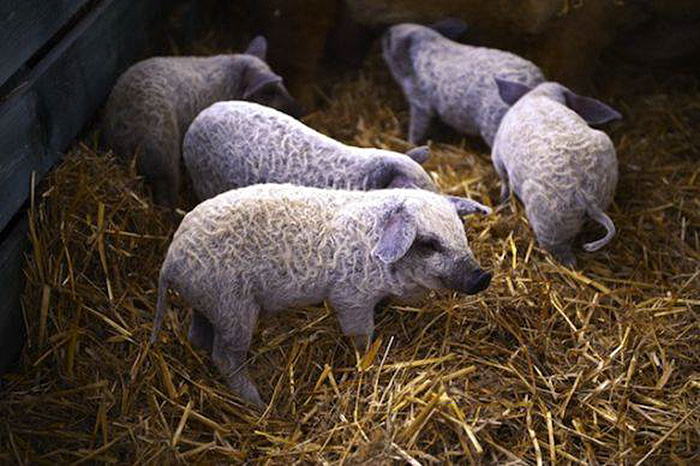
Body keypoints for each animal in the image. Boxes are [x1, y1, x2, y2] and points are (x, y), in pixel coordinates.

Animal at [150, 184, 492, 405]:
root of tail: (170, 261)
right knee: (225, 356)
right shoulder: (350, 297)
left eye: (461, 233)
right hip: (233, 306)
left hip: (209, 303)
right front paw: (368, 360)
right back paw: (259, 403)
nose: (483, 276)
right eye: (429, 244)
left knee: (197, 336)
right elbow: (360, 335)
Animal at [382, 22, 545, 147]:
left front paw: (409, 144)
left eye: (389, 39)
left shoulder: (420, 102)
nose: (385, 30)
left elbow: (417, 128)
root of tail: (534, 83)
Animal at [492, 79, 621, 266]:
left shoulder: (497, 154)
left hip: (548, 223)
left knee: (563, 254)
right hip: (606, 187)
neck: (540, 95)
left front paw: (502, 200)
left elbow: (503, 179)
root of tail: (586, 197)